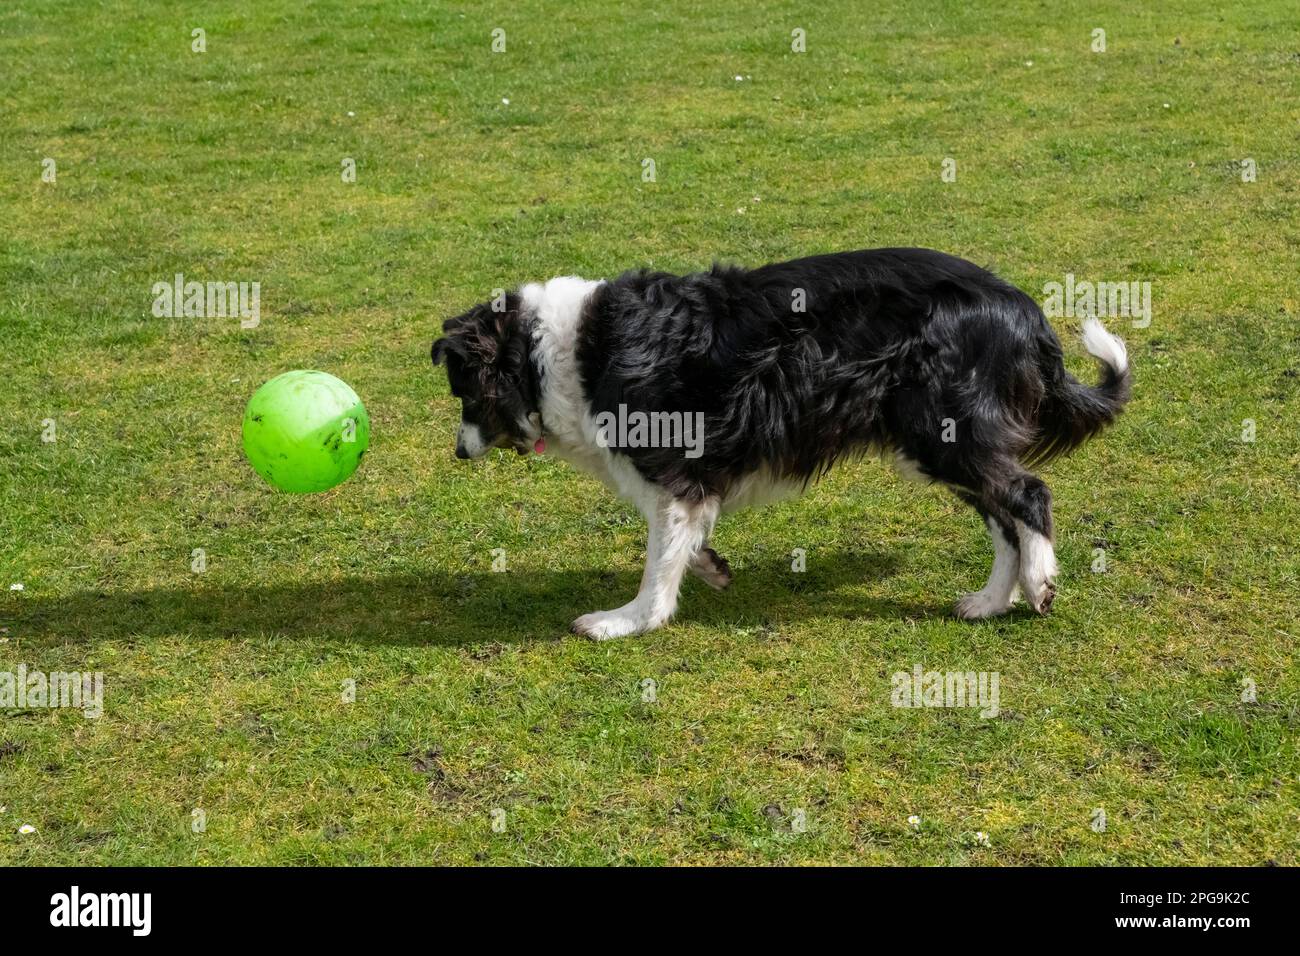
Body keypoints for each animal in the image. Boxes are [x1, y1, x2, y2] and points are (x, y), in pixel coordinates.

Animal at [434, 247, 1128, 639]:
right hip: (939, 439)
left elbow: (658, 560)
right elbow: (682, 540)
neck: (550, 350)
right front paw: (708, 566)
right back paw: (991, 601)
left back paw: (1039, 583)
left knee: (1028, 494)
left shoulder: (673, 468)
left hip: (940, 430)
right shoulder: (683, 485)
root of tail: (1024, 309)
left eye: (462, 392)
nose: (459, 453)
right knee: (1003, 515)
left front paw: (628, 621)